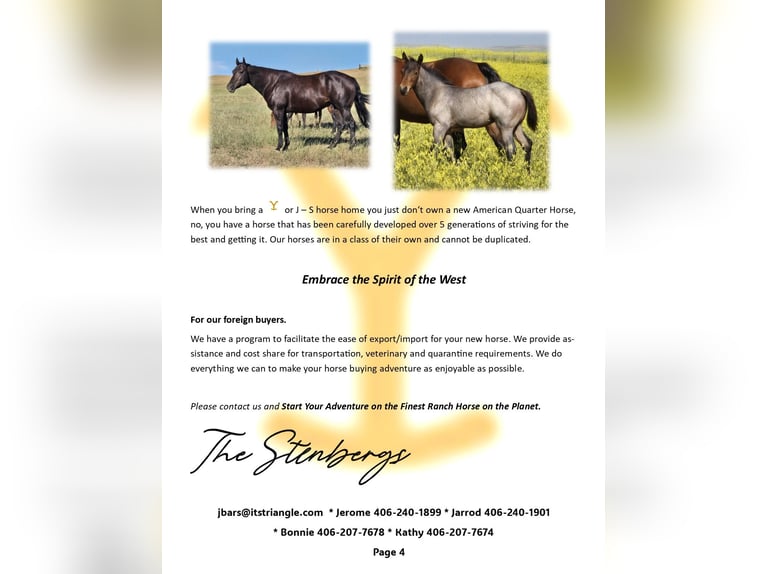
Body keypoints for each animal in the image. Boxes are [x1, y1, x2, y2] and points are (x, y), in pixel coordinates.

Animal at [227, 57, 370, 151]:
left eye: (241, 71)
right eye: (233, 71)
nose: (229, 87)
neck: (274, 83)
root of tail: (351, 79)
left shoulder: (279, 110)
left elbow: (280, 128)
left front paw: (279, 147)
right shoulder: (285, 111)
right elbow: (285, 128)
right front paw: (286, 146)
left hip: (344, 108)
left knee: (351, 124)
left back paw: (351, 146)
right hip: (335, 108)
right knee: (340, 125)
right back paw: (332, 145)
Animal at [398, 52, 537, 164]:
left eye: (415, 72)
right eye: (403, 71)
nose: (403, 89)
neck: (438, 93)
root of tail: (519, 90)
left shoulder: (439, 127)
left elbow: (435, 150)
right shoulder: (449, 130)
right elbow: (450, 151)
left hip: (506, 128)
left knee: (510, 150)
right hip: (516, 127)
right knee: (527, 144)